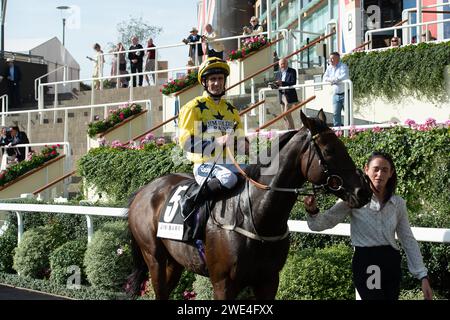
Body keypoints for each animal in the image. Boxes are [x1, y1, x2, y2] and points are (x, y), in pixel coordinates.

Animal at [126, 110, 372, 300]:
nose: (364, 190)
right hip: (154, 259)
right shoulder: (223, 284)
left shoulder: (268, 280)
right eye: (330, 150)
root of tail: (144, 191)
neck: (255, 216)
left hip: (174, 262)